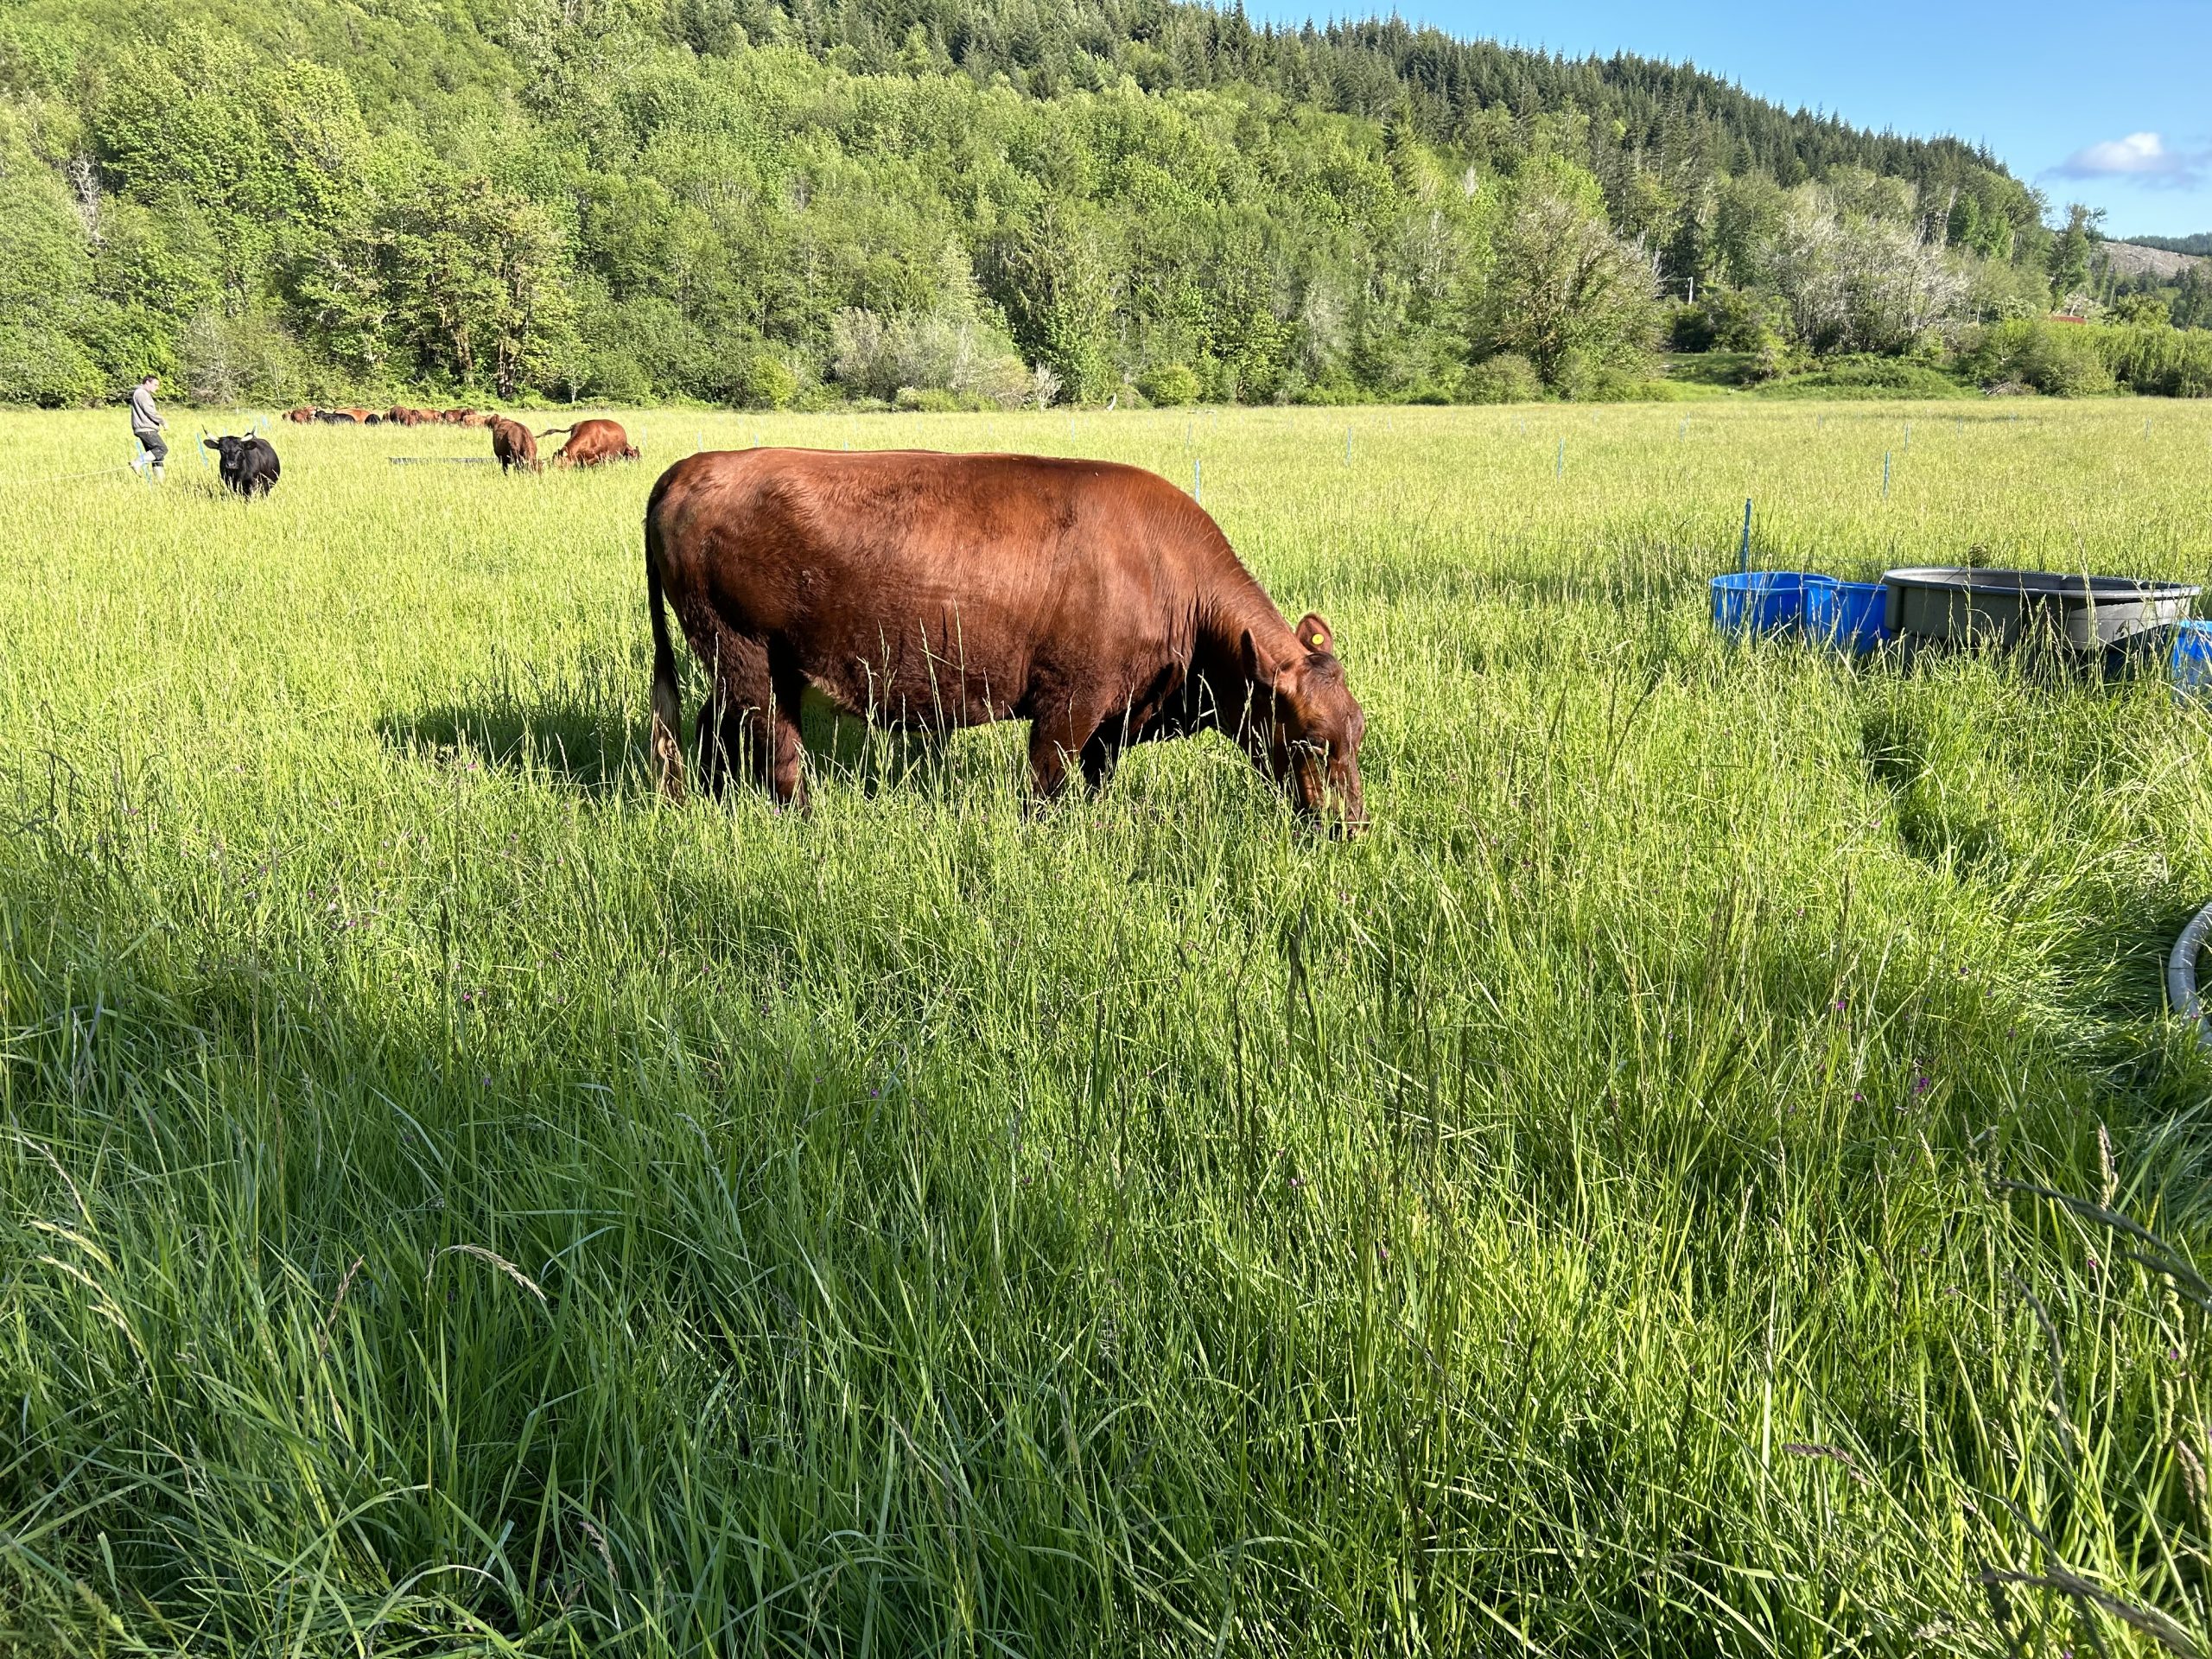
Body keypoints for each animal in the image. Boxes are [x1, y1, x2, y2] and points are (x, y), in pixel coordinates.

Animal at [644, 449, 1367, 829]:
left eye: (1357, 732)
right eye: (1309, 737)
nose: (1349, 827)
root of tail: (694, 465)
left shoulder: (1110, 720)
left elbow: (1095, 777)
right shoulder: (1067, 705)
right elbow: (1046, 785)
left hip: (751, 666)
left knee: (714, 729)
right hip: (749, 658)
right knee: (774, 747)